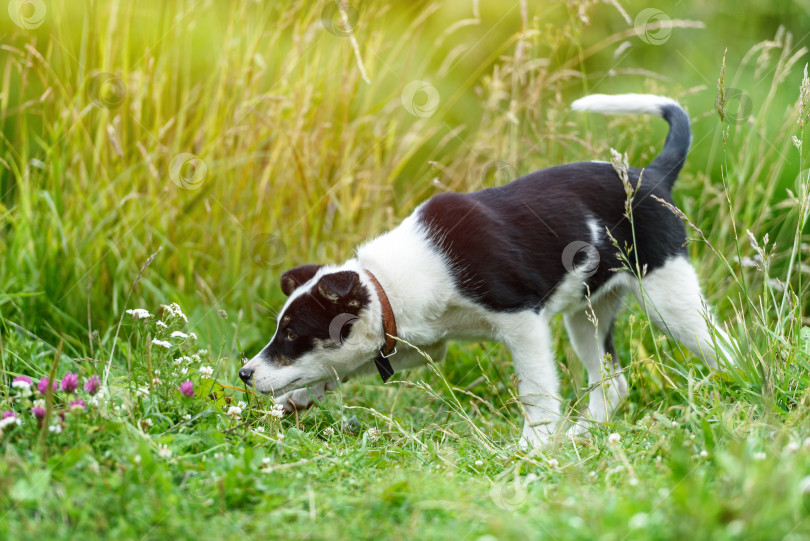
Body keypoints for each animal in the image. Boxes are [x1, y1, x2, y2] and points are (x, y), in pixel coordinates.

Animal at [240, 94, 732, 448]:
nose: (244, 374)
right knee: (611, 384)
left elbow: (536, 390)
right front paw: (295, 399)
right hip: (587, 316)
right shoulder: (419, 344)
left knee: (724, 348)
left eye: (291, 333)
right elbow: (340, 367)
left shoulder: (523, 323)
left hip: (669, 298)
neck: (389, 286)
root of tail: (652, 175)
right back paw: (582, 434)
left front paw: (534, 445)